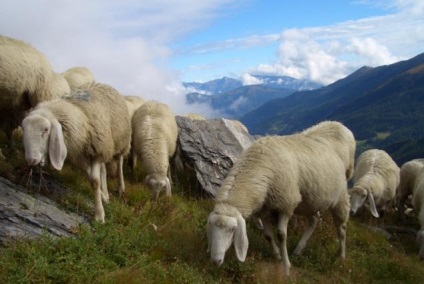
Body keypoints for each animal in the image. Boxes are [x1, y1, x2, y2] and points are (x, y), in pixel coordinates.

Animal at [21, 81, 130, 222]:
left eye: (46, 130)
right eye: (23, 128)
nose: (31, 160)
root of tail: (104, 84)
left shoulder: (97, 149)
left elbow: (95, 181)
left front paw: (99, 216)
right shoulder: (81, 155)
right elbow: (92, 177)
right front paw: (102, 197)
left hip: (120, 141)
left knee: (120, 161)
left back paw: (121, 188)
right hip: (105, 148)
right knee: (104, 168)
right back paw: (105, 194)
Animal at [206, 120, 354, 276]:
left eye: (233, 230)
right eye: (211, 226)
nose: (215, 261)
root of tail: (338, 125)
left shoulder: (286, 203)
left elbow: (281, 235)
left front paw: (286, 266)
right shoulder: (263, 209)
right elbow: (268, 235)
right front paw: (277, 255)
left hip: (340, 195)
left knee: (342, 228)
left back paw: (341, 257)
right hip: (309, 200)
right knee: (314, 220)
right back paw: (298, 249)